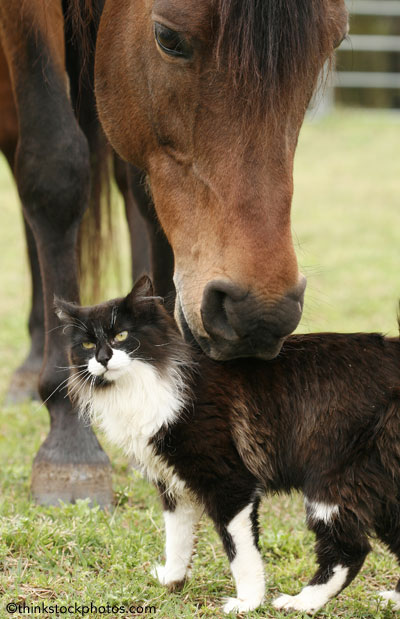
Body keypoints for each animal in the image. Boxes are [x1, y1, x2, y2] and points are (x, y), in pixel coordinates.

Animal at [0, 0, 346, 504]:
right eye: (168, 38)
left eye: (333, 42)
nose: (260, 313)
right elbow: (53, 170)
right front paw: (68, 443)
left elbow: (146, 196)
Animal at [54, 276, 400, 616]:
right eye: (87, 344)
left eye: (121, 335)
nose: (103, 358)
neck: (149, 384)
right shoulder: (173, 486)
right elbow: (176, 539)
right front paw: (172, 580)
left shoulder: (230, 482)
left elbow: (240, 553)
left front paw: (249, 602)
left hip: (330, 483)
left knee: (350, 551)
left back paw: (300, 602)